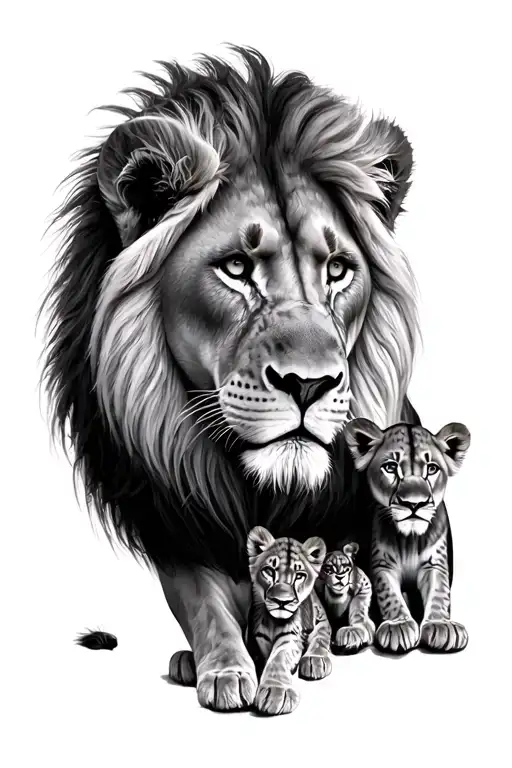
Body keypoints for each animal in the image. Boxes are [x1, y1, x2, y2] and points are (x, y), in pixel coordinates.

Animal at [42, 46, 432, 712]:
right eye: (235, 268)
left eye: (337, 270)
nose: (310, 384)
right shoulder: (175, 519)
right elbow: (202, 600)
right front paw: (225, 669)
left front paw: (322, 646)